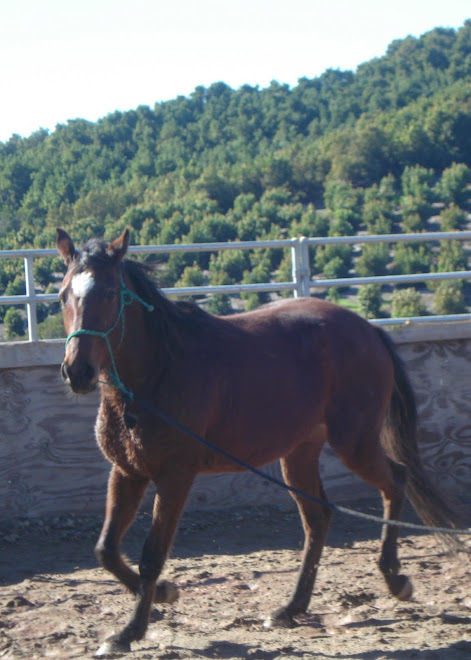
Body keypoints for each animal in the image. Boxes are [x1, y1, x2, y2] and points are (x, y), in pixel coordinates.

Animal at [56, 228, 460, 656]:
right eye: (64, 294)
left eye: (108, 293)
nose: (77, 372)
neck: (156, 371)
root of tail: (369, 331)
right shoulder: (128, 472)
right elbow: (106, 549)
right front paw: (163, 594)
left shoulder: (175, 476)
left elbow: (152, 555)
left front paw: (130, 631)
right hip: (299, 453)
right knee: (318, 518)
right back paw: (291, 608)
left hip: (355, 442)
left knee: (395, 481)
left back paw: (396, 579)